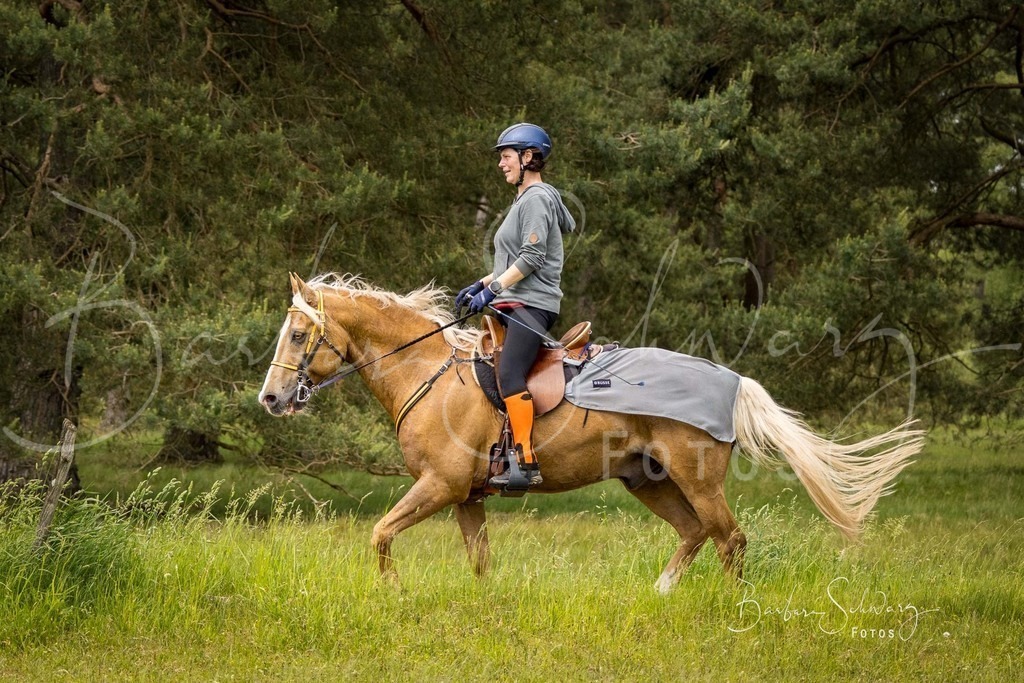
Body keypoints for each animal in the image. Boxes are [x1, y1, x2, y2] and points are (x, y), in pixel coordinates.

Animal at [258, 272, 924, 591]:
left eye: (299, 334)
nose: (269, 398)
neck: (429, 374)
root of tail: (732, 381)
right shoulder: (467, 497)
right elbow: (480, 563)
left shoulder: (440, 486)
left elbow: (380, 534)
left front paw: (393, 593)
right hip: (647, 480)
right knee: (695, 534)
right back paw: (659, 593)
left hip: (697, 478)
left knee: (729, 538)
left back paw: (732, 608)